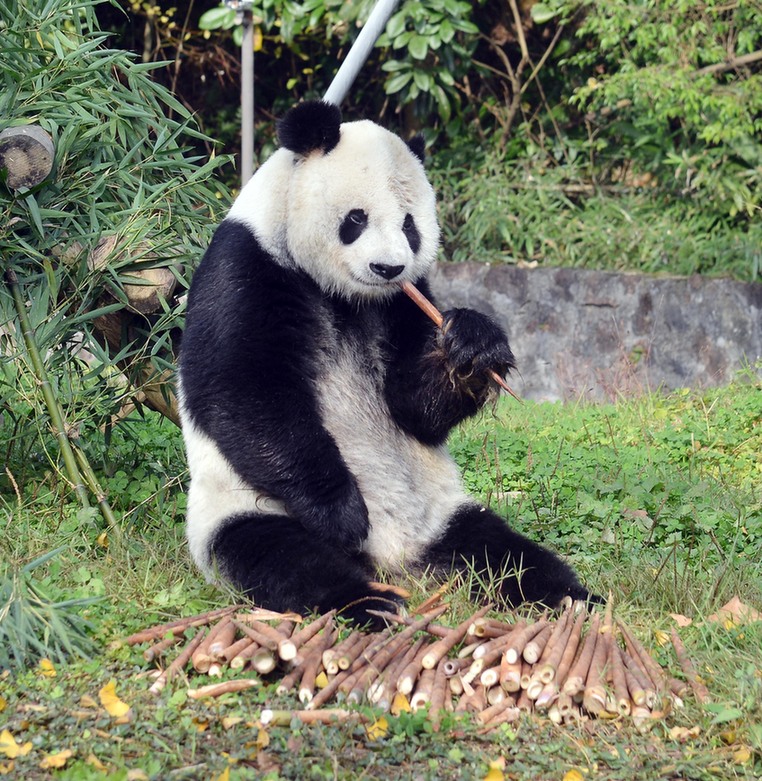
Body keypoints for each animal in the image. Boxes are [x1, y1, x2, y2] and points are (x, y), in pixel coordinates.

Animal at [178, 100, 592, 624]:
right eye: (356, 218)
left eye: (410, 226)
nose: (389, 268)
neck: (346, 295)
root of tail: (396, 560)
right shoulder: (248, 265)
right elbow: (243, 390)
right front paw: (344, 515)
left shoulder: (405, 300)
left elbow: (413, 408)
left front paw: (474, 347)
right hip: (239, 511)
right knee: (284, 559)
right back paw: (369, 602)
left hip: (442, 513)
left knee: (500, 551)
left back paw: (572, 599)